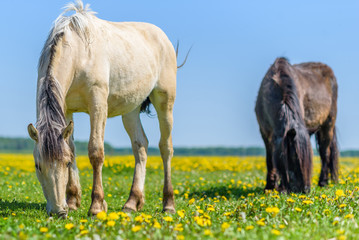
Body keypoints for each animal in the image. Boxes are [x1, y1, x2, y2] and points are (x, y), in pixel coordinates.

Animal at [27, 0, 179, 218]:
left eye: (65, 164)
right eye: (38, 166)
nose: (58, 211)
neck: (78, 53)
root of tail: (162, 37)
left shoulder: (98, 105)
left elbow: (95, 152)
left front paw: (97, 206)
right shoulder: (66, 110)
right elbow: (72, 148)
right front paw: (72, 200)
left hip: (165, 102)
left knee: (165, 148)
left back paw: (168, 204)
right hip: (130, 110)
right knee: (140, 146)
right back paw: (132, 202)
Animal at [256, 57, 340, 193]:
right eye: (293, 157)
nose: (305, 190)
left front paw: (279, 187)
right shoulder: (265, 133)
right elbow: (270, 159)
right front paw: (270, 186)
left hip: (328, 126)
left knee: (325, 153)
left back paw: (323, 182)